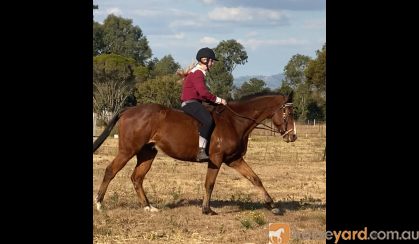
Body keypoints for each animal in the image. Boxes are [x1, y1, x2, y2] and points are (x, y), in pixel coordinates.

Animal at [93, 91, 296, 214]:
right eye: (287, 113)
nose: (293, 137)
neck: (234, 121)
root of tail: (129, 110)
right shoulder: (216, 159)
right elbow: (209, 184)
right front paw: (206, 209)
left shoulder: (234, 159)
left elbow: (255, 179)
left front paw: (273, 206)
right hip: (127, 150)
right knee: (111, 171)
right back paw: (99, 203)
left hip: (147, 153)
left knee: (137, 177)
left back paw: (148, 207)